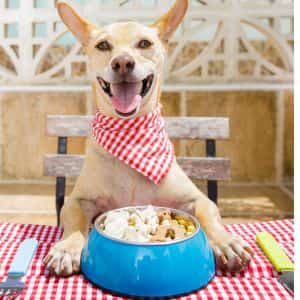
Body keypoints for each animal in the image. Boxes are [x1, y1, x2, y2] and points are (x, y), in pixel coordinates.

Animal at [44, 0, 253, 276]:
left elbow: (208, 213)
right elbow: (75, 219)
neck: (130, 134)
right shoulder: (78, 200)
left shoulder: (196, 198)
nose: (122, 63)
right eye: (103, 45)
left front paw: (225, 241)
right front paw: (68, 247)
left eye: (144, 43)